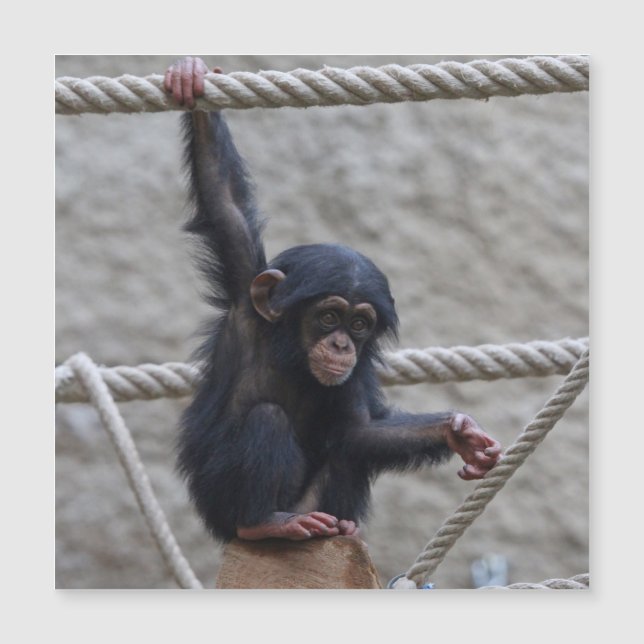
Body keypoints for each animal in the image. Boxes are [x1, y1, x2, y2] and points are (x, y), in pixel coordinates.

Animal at [165, 57, 502, 542]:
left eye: (359, 325)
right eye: (328, 317)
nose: (342, 344)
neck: (291, 354)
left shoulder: (355, 375)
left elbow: (359, 432)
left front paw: (459, 434)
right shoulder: (245, 298)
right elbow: (222, 196)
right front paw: (192, 82)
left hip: (317, 507)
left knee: (347, 452)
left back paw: (342, 527)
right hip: (223, 509)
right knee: (267, 420)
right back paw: (263, 524)